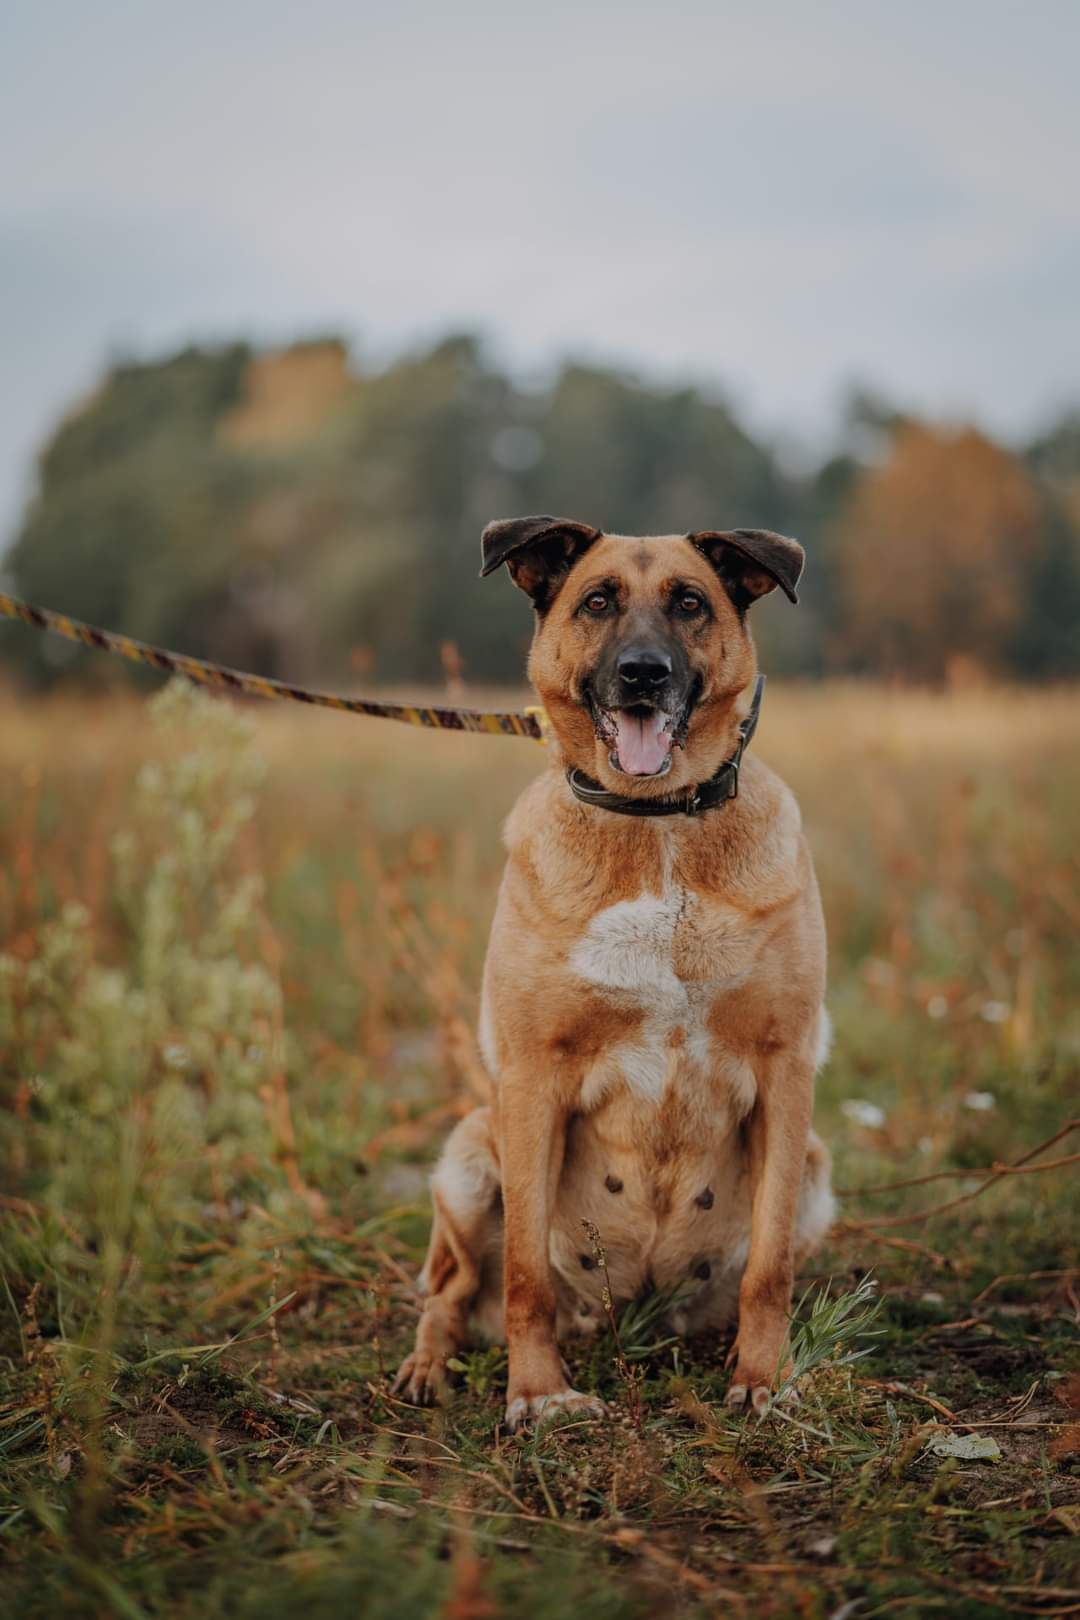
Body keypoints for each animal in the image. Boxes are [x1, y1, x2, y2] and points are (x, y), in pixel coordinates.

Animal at [396, 518, 835, 1432]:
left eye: (690, 603)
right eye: (596, 602)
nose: (642, 674)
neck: (656, 822)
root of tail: (630, 1318)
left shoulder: (784, 1075)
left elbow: (769, 1270)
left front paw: (765, 1379)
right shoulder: (532, 1080)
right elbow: (526, 1276)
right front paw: (537, 1395)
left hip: (813, 1165)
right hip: (469, 1157)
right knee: (452, 1293)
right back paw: (427, 1367)